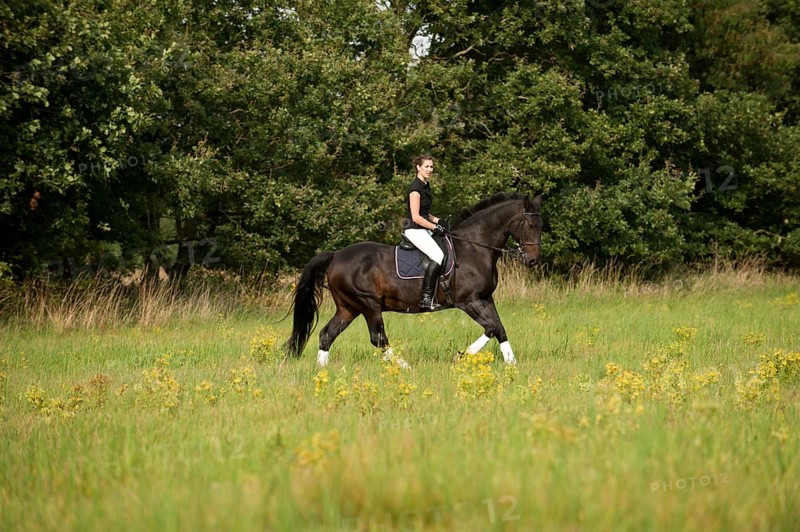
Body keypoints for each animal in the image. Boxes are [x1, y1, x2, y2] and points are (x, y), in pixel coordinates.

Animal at [284, 192, 542, 366]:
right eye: (530, 224)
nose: (532, 261)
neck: (474, 247)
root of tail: (336, 255)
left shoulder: (485, 297)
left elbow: (499, 329)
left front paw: (512, 365)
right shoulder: (468, 301)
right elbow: (491, 328)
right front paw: (460, 357)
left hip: (348, 307)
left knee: (327, 335)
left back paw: (322, 373)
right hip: (368, 304)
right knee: (378, 339)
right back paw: (406, 369)